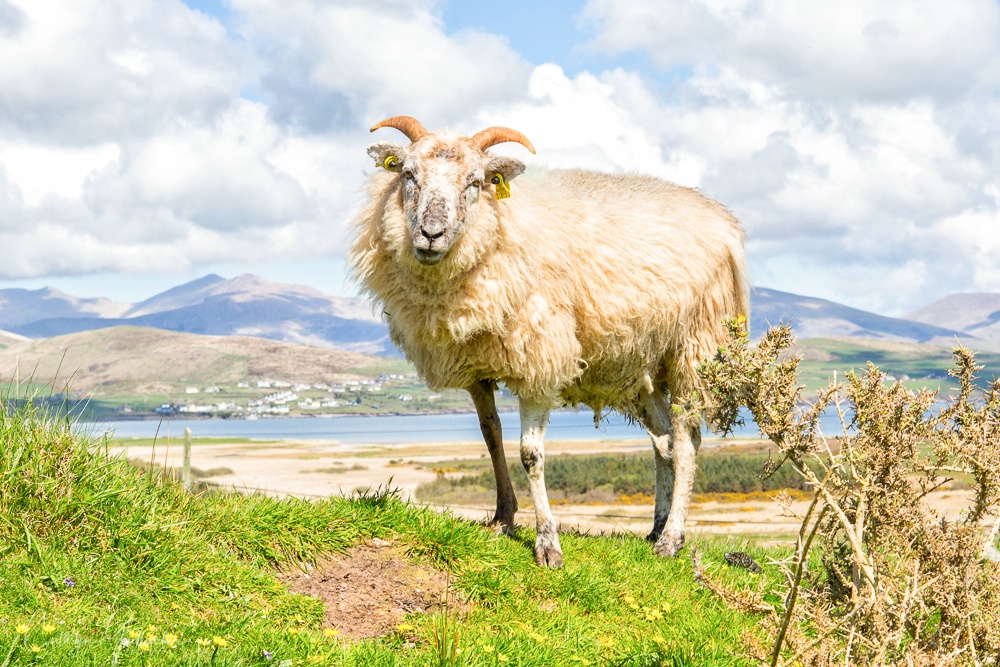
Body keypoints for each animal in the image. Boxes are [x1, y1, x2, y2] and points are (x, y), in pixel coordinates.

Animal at [352, 116, 752, 568]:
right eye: (407, 174)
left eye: (476, 182)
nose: (430, 234)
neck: (501, 225)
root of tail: (726, 222)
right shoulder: (475, 365)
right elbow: (491, 436)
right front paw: (503, 518)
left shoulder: (539, 358)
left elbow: (531, 454)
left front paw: (547, 543)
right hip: (643, 366)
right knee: (664, 442)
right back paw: (655, 528)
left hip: (695, 346)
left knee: (687, 440)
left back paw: (671, 539)